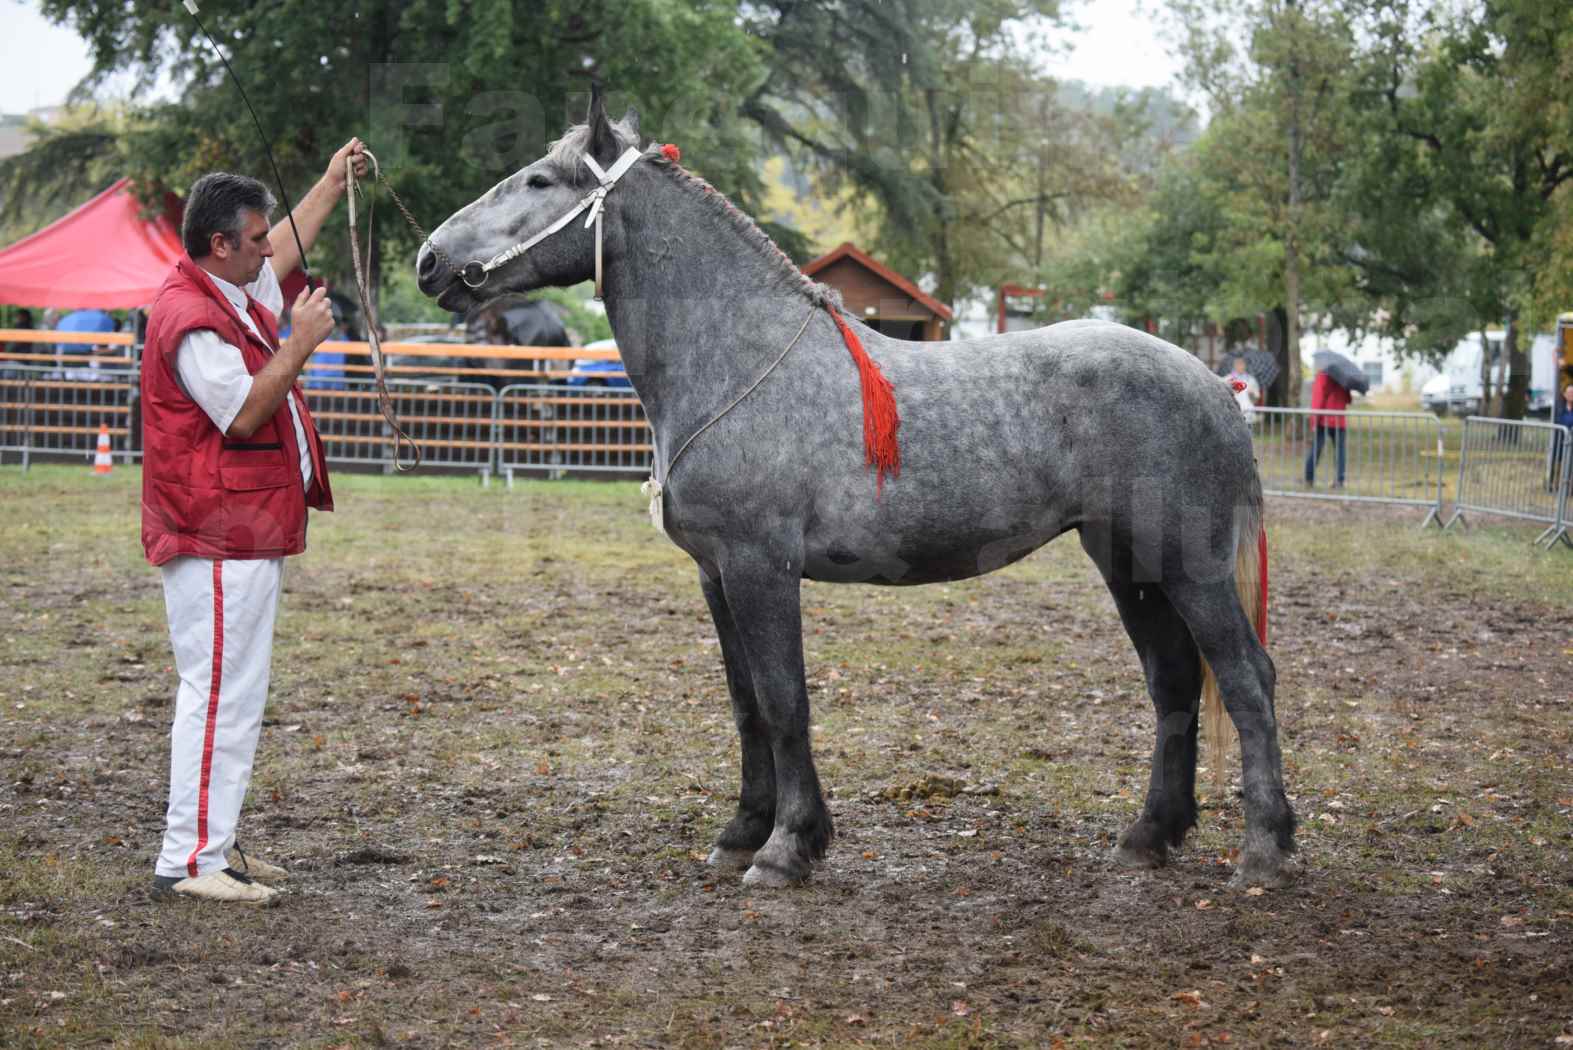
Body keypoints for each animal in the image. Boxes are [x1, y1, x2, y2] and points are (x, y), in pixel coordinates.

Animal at [415, 92, 1289, 892]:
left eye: (538, 180)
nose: (428, 259)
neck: (739, 358)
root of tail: (1215, 383)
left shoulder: (760, 568)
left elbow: (782, 700)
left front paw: (785, 849)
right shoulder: (715, 575)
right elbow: (744, 705)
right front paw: (742, 832)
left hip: (1188, 565)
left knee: (1246, 677)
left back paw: (1263, 852)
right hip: (1127, 561)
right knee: (1173, 682)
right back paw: (1148, 837)